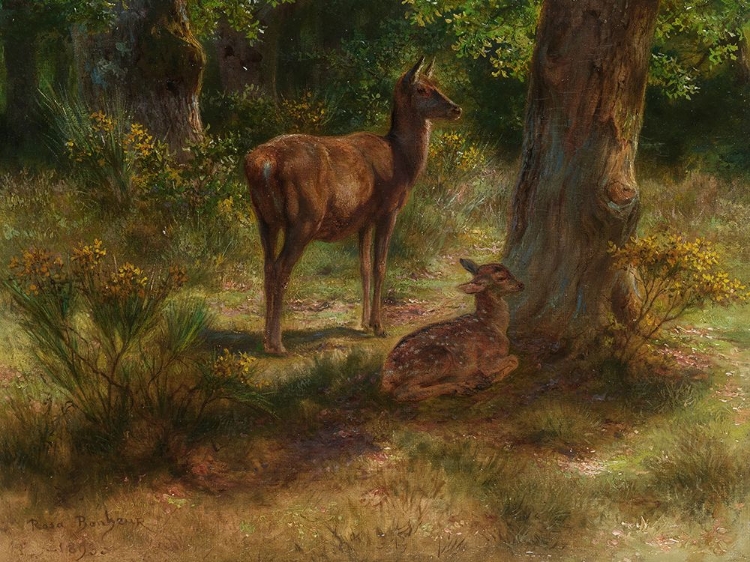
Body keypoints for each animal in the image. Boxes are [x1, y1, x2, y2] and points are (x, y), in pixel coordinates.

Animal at [244, 58, 461, 355]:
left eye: (435, 84)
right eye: (421, 89)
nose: (456, 108)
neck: (402, 162)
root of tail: (263, 163)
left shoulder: (364, 220)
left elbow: (364, 267)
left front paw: (364, 323)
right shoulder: (388, 210)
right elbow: (381, 265)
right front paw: (379, 326)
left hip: (265, 219)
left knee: (266, 267)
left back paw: (266, 339)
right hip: (304, 219)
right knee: (280, 270)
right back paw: (277, 344)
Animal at [380, 259, 524, 402]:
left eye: (508, 270)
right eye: (501, 278)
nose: (521, 285)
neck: (495, 325)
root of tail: (387, 374)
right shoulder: (487, 359)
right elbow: (513, 359)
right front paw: (493, 378)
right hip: (437, 359)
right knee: (403, 392)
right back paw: (461, 387)